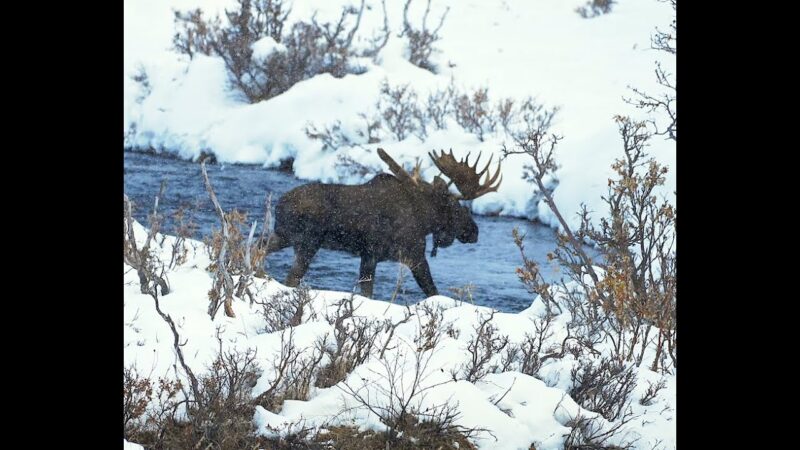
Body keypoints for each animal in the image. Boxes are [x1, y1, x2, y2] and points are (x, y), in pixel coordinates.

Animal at [262, 148, 500, 298]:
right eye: (456, 207)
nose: (474, 231)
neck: (425, 220)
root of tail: (279, 206)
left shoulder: (369, 256)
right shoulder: (410, 255)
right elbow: (432, 291)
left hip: (282, 236)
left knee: (258, 250)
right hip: (307, 243)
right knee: (291, 278)